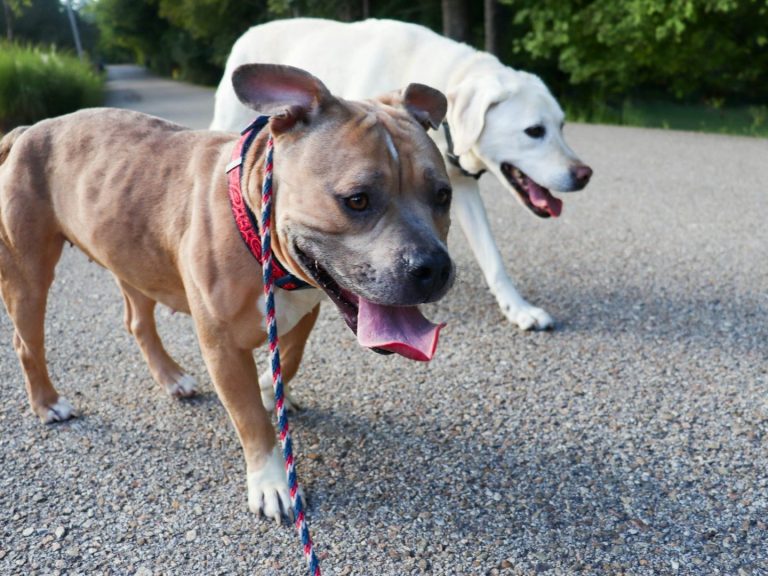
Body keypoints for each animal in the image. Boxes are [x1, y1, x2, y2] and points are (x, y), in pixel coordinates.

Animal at [0, 64, 454, 521]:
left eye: (443, 195)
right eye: (357, 200)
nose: (434, 267)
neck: (255, 225)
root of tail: (26, 130)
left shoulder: (305, 311)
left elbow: (289, 360)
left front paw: (274, 391)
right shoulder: (223, 346)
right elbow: (249, 417)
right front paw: (271, 482)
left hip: (132, 257)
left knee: (138, 323)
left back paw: (172, 378)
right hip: (28, 276)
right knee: (26, 342)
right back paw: (48, 403)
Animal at [211, 18, 593, 331]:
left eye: (561, 125)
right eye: (534, 131)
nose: (584, 174)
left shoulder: (460, 187)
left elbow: (492, 256)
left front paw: (518, 308)